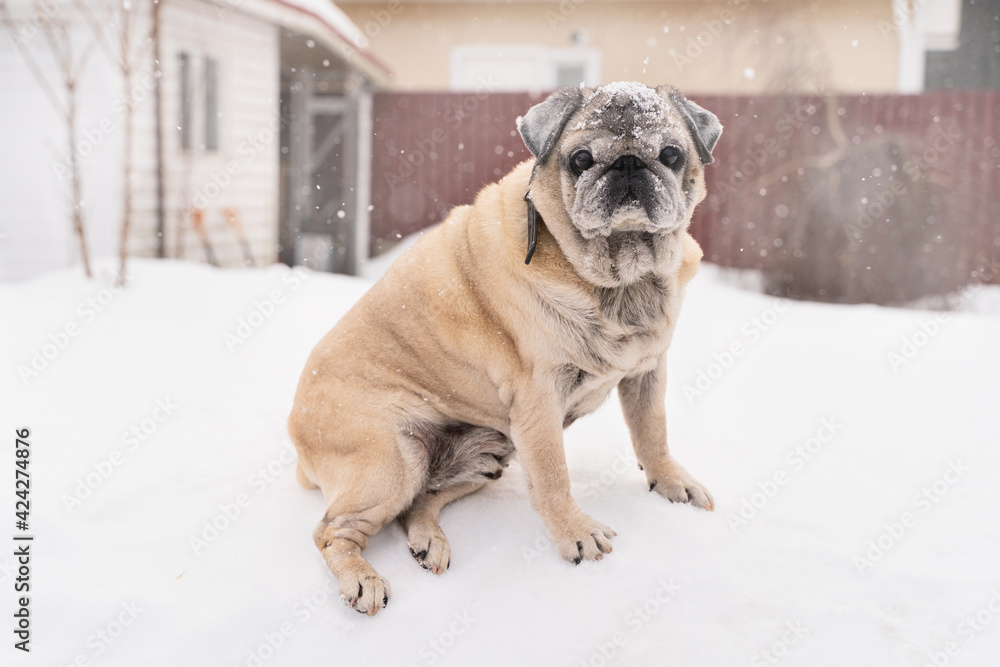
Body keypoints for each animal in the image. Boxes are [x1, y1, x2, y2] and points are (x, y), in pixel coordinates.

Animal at [288, 82, 720, 616]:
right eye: (580, 159)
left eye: (671, 155)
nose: (627, 164)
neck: (622, 281)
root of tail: (296, 432)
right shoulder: (539, 401)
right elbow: (554, 477)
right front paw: (576, 534)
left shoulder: (647, 371)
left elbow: (653, 434)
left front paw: (671, 483)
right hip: (391, 461)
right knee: (332, 531)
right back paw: (362, 580)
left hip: (489, 453)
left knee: (417, 505)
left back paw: (429, 542)